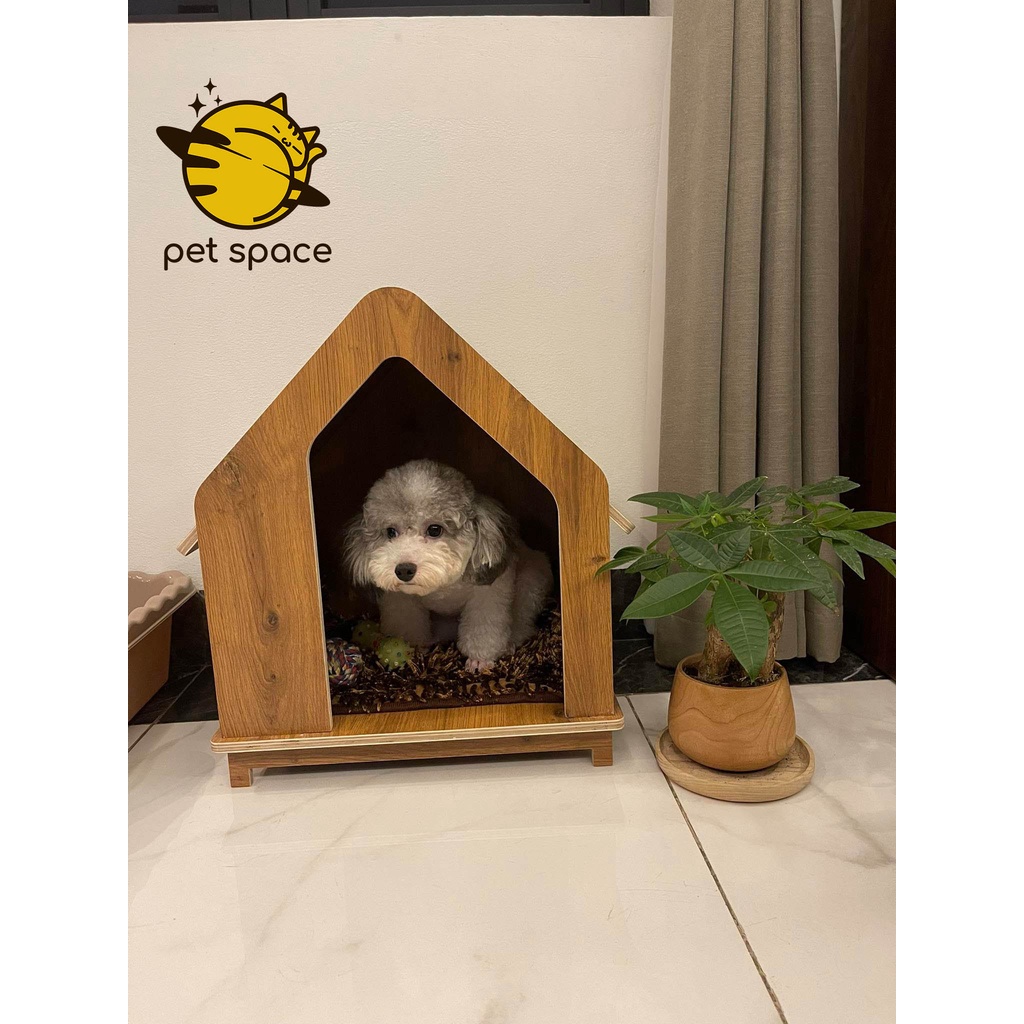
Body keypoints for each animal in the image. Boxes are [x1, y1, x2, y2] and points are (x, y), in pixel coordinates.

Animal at [344, 459, 553, 672]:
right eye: (391, 532)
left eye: (435, 529)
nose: (403, 570)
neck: (443, 587)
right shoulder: (401, 599)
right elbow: (408, 624)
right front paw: (414, 650)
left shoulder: (489, 594)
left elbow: (484, 627)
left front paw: (479, 659)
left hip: (532, 580)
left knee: (523, 620)